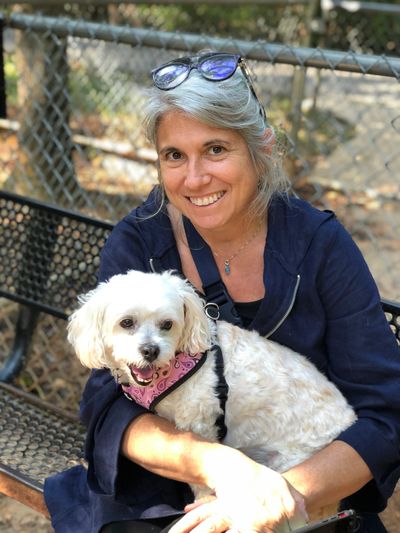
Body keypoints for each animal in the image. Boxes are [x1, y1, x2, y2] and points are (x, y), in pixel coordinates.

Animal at [68, 270, 356, 502]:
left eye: (167, 324)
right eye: (126, 322)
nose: (150, 350)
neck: (174, 367)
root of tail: (348, 417)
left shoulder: (199, 424)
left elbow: (197, 474)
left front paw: (203, 499)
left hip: (295, 459)